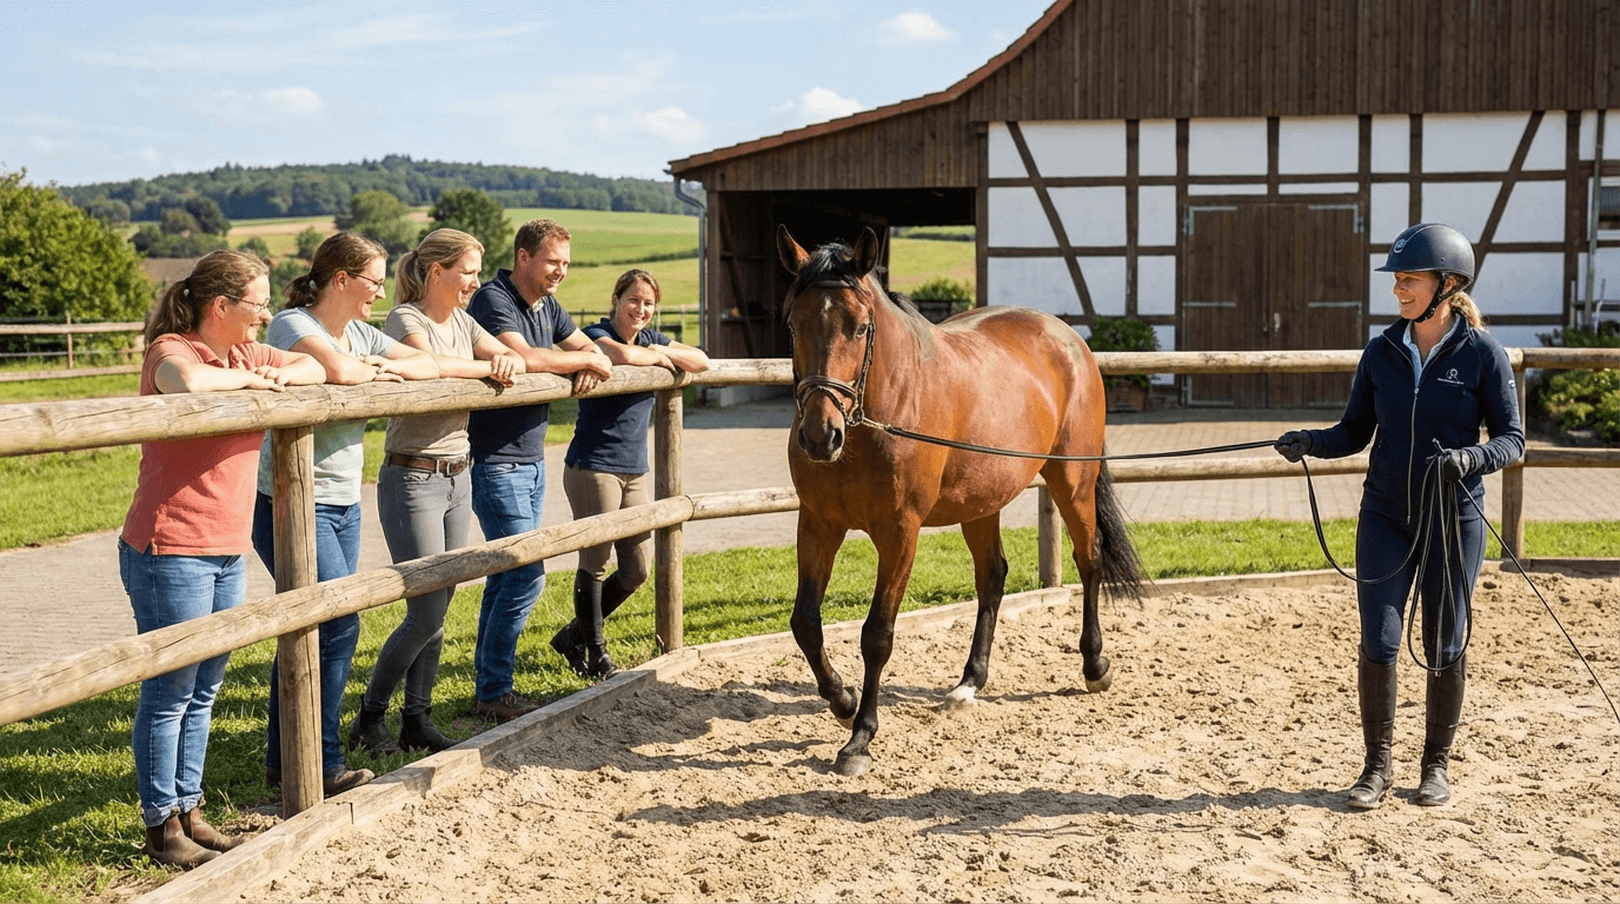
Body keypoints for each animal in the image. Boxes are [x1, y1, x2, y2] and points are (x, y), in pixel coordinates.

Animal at [778, 224, 1145, 777]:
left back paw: (1094, 664)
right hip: (982, 503)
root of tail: (1068, 338)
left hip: (1072, 481)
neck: (877, 415)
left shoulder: (900, 533)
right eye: (794, 325)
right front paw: (841, 700)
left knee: (1090, 559)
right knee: (992, 575)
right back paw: (969, 683)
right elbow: (805, 624)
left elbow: (877, 634)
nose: (821, 437)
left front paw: (860, 738)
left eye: (860, 328)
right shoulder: (819, 523)